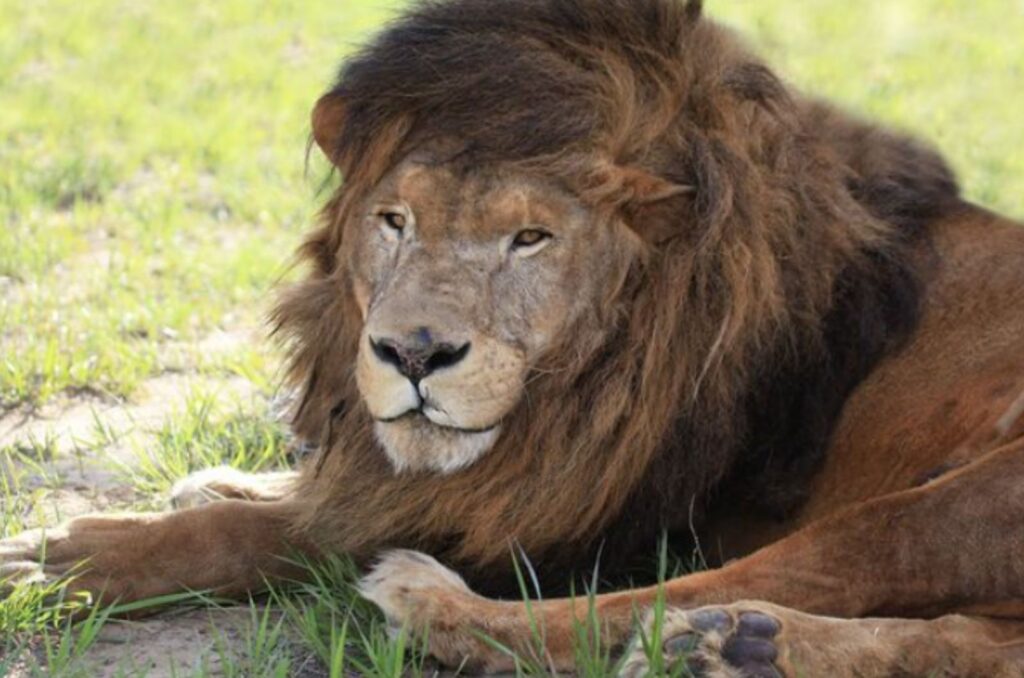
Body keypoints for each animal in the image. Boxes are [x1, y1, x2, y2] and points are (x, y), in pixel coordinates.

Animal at [2, 0, 1024, 675]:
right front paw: (229, 477)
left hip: (969, 493)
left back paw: (443, 606)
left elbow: (273, 533)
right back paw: (742, 647)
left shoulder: (587, 508)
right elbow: (324, 490)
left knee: (743, 583)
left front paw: (61, 562)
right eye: (395, 220)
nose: (413, 354)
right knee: (964, 643)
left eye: (531, 237)